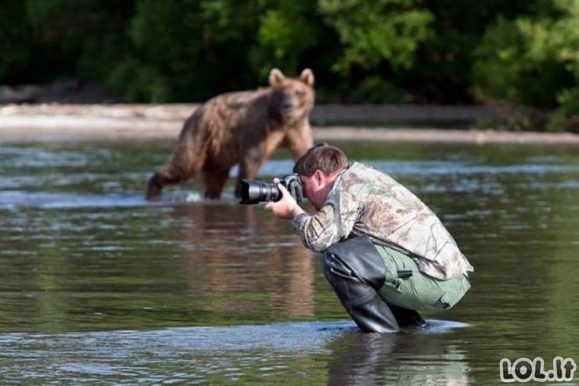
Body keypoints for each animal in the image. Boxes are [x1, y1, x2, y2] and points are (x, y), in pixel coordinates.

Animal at [147, 68, 314, 201]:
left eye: (299, 93)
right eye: (282, 93)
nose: (288, 106)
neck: (282, 120)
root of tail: (197, 110)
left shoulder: (297, 129)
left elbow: (303, 151)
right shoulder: (260, 128)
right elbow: (252, 159)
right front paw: (242, 190)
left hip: (219, 151)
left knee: (215, 177)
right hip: (200, 133)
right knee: (185, 165)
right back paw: (153, 190)